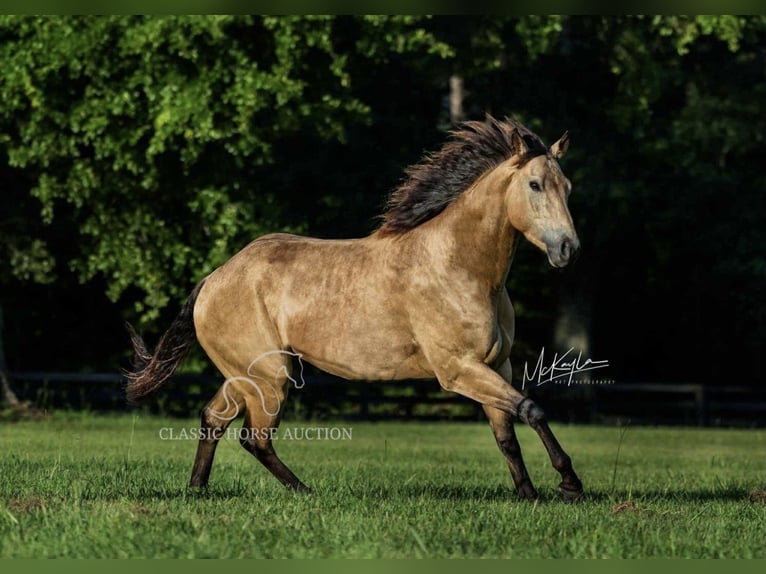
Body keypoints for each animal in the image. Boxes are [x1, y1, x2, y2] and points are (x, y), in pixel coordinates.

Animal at [125, 115, 584, 501]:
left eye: (567, 187)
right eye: (535, 185)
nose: (568, 249)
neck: (459, 266)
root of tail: (214, 279)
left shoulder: (497, 365)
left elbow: (506, 434)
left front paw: (529, 495)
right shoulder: (459, 370)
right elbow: (532, 408)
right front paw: (569, 484)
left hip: (245, 375)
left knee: (214, 419)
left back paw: (197, 490)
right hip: (269, 376)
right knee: (254, 437)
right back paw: (304, 491)